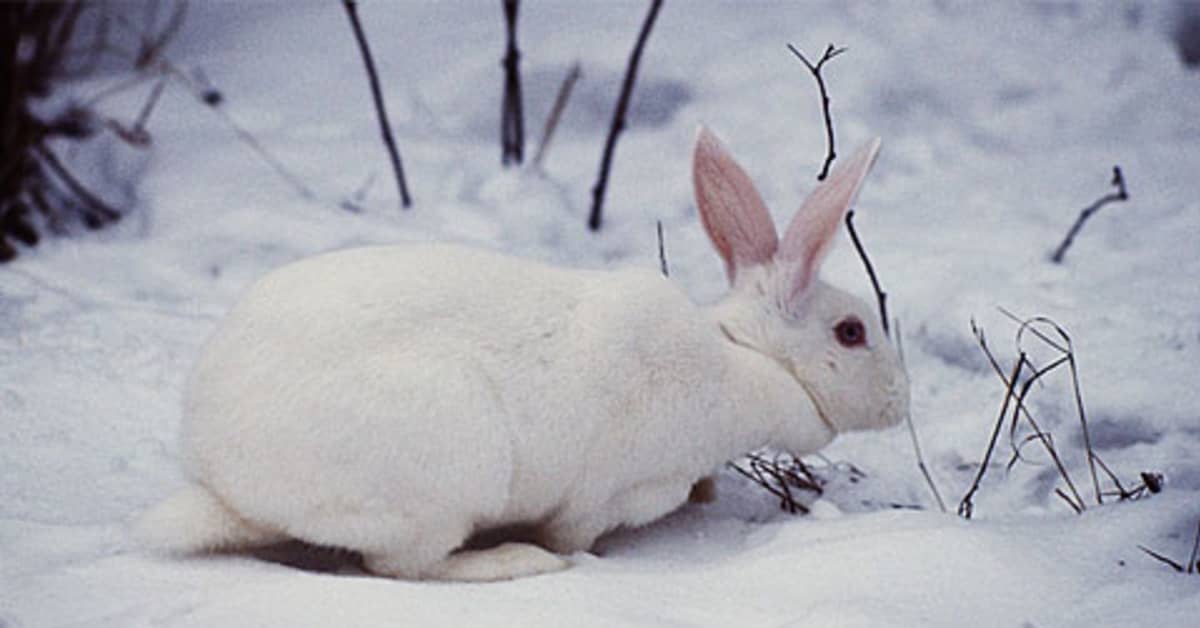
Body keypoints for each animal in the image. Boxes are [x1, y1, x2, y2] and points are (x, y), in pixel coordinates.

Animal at [135, 127, 909, 582]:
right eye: (851, 332)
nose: (902, 403)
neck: (744, 356)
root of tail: (225, 483)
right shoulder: (602, 492)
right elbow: (576, 531)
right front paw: (574, 556)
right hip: (449, 474)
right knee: (405, 567)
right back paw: (514, 562)